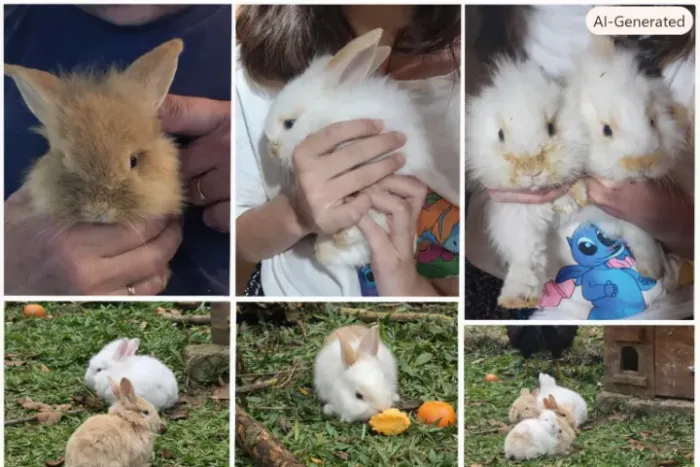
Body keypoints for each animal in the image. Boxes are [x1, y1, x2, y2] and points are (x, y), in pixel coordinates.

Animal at [465, 55, 589, 308]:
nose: (532, 171)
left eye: (551, 127)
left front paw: (569, 201)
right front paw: (517, 298)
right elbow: (526, 253)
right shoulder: (515, 215)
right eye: (500, 134)